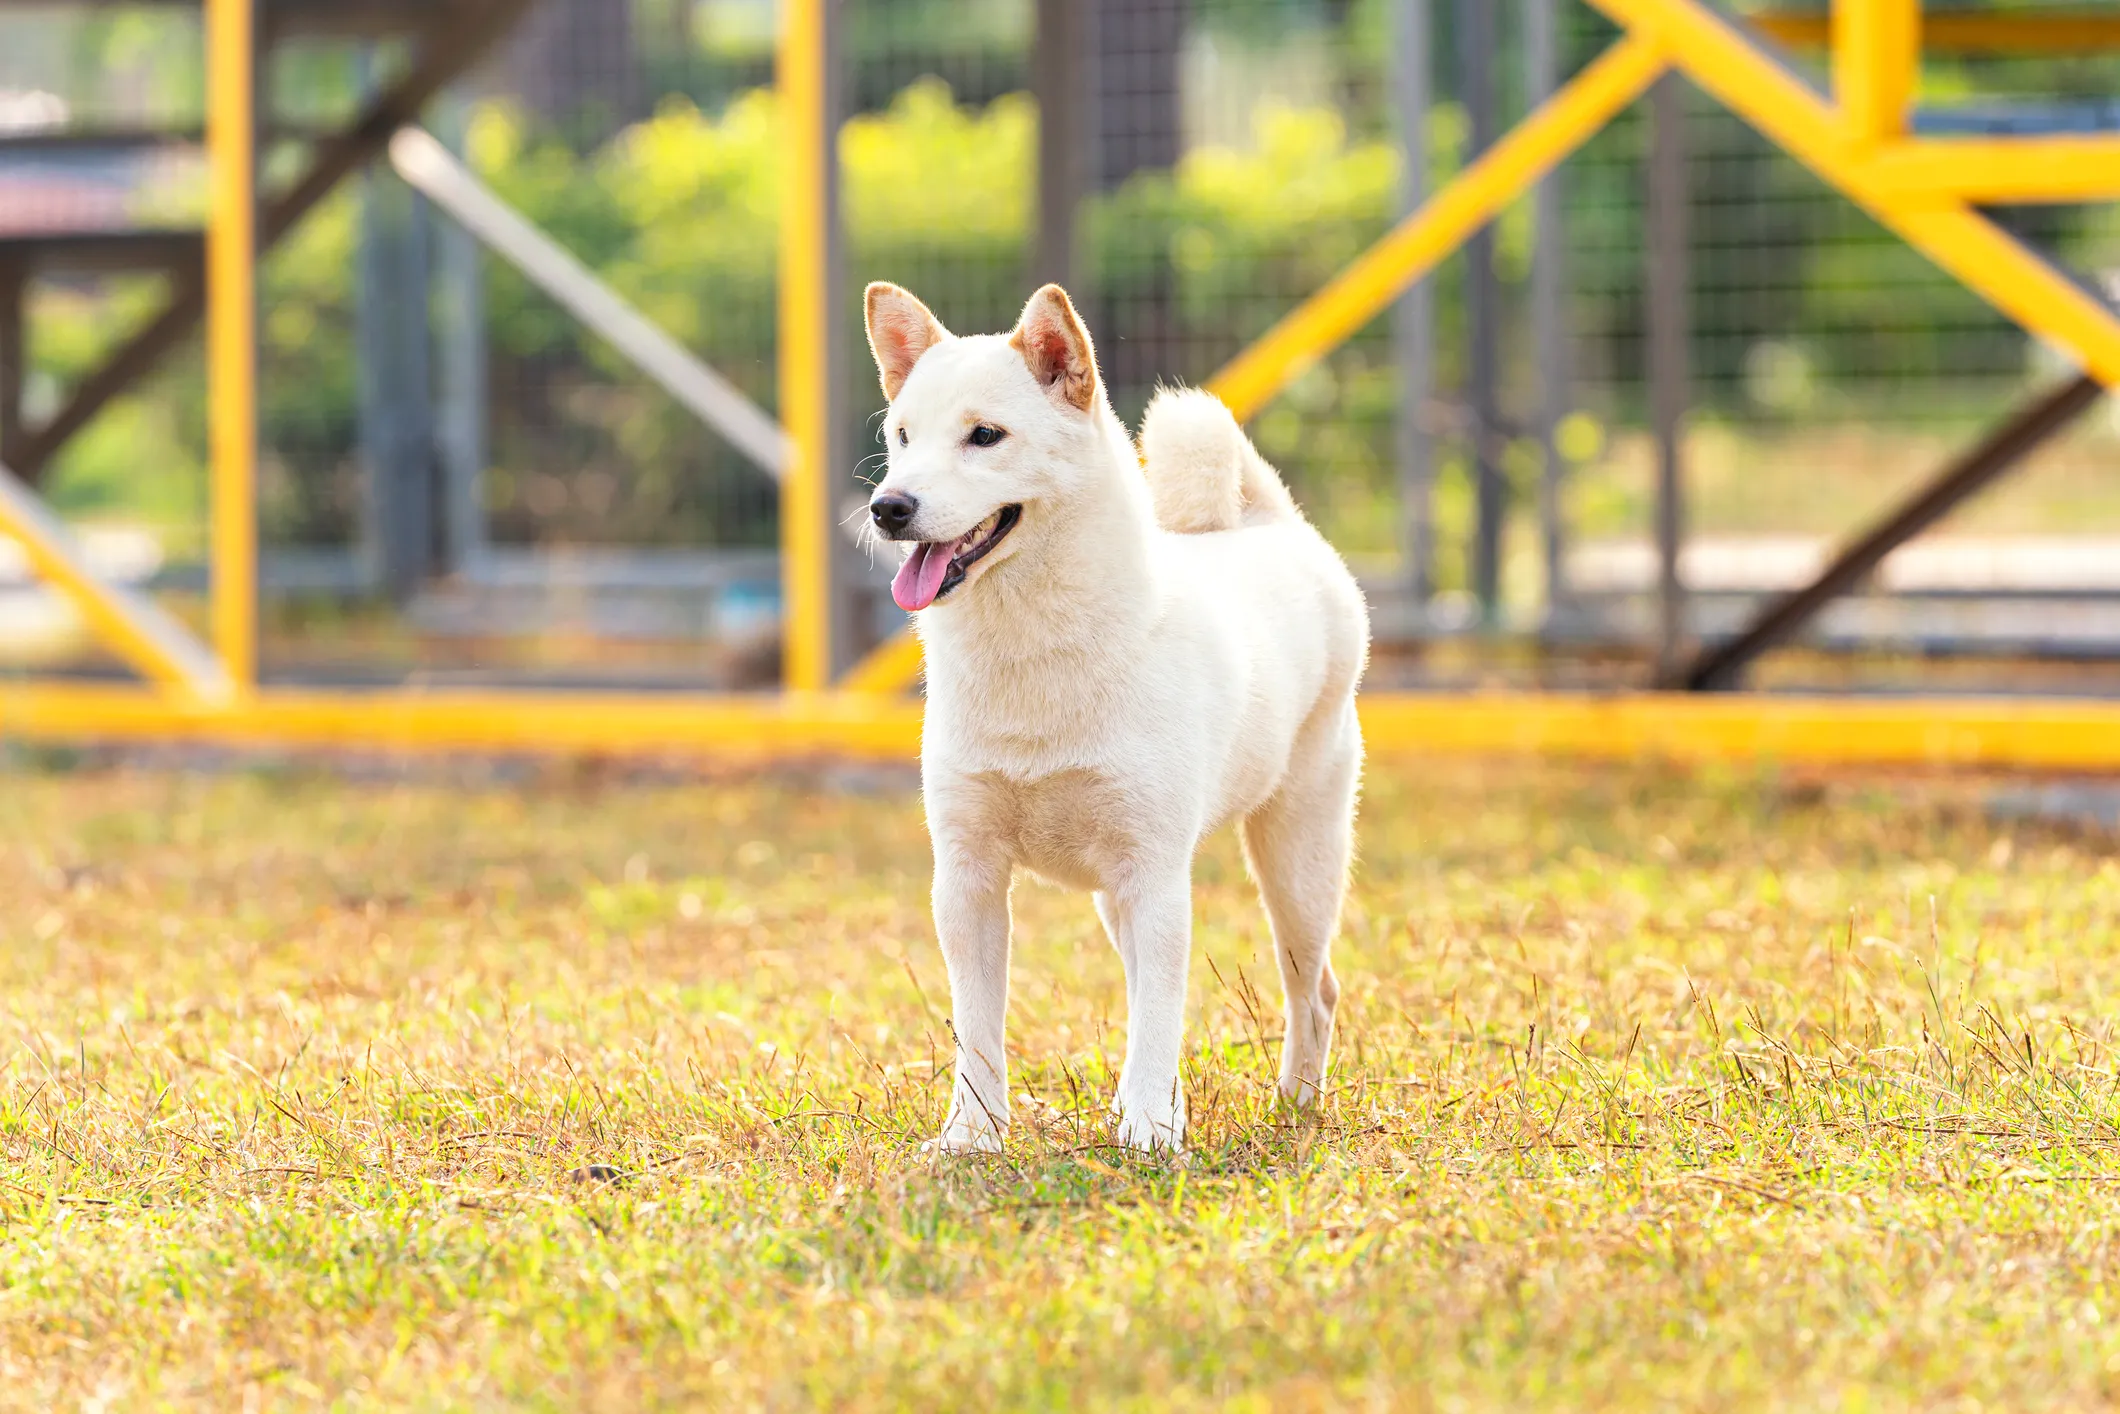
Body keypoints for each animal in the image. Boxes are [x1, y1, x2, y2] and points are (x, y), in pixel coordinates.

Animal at [864, 279, 1373, 1153]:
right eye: (902, 437)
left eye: (984, 436)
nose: (888, 506)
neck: (1032, 661)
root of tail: (1273, 527)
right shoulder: (966, 877)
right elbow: (979, 1029)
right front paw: (973, 1136)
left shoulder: (1156, 871)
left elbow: (1161, 1016)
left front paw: (1148, 1135)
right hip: (1117, 897)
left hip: (1295, 862)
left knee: (1314, 990)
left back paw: (1295, 1105)